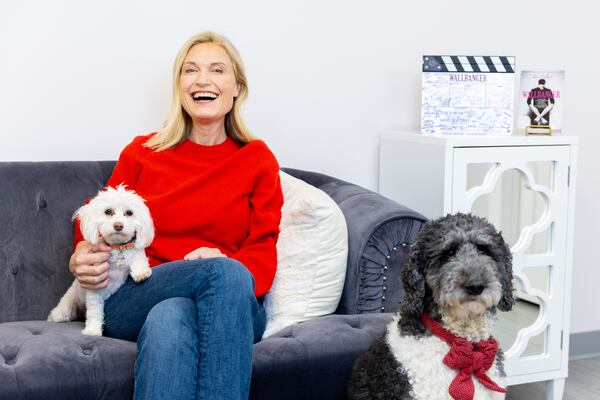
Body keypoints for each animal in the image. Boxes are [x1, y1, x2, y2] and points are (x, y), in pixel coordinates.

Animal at [48, 186, 155, 336]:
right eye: (108, 211)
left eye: (129, 213)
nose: (118, 225)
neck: (118, 248)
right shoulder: (95, 288)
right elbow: (94, 311)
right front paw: (92, 330)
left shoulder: (135, 252)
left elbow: (139, 258)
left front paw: (141, 272)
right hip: (67, 304)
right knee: (59, 314)